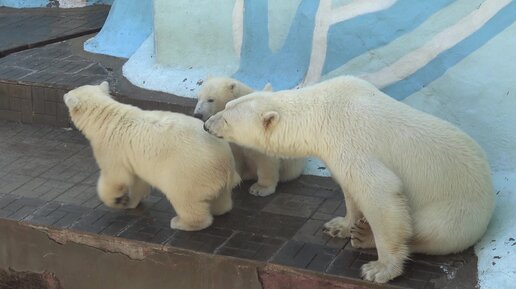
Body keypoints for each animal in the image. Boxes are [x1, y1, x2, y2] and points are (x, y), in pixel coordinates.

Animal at [64, 82, 240, 231]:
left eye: (68, 95)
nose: (64, 94)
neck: (105, 118)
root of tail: (226, 163)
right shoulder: (134, 157)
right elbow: (138, 179)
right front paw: (130, 202)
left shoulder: (111, 148)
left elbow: (116, 177)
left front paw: (116, 200)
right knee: (221, 199)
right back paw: (219, 209)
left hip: (187, 172)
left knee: (184, 198)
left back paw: (181, 222)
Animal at [204, 76, 494, 282]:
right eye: (226, 106)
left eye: (227, 119)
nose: (206, 125)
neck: (320, 112)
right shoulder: (334, 149)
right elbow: (350, 188)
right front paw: (340, 225)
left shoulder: (351, 140)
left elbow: (379, 192)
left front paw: (380, 269)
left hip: (458, 211)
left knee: (429, 229)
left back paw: (367, 236)